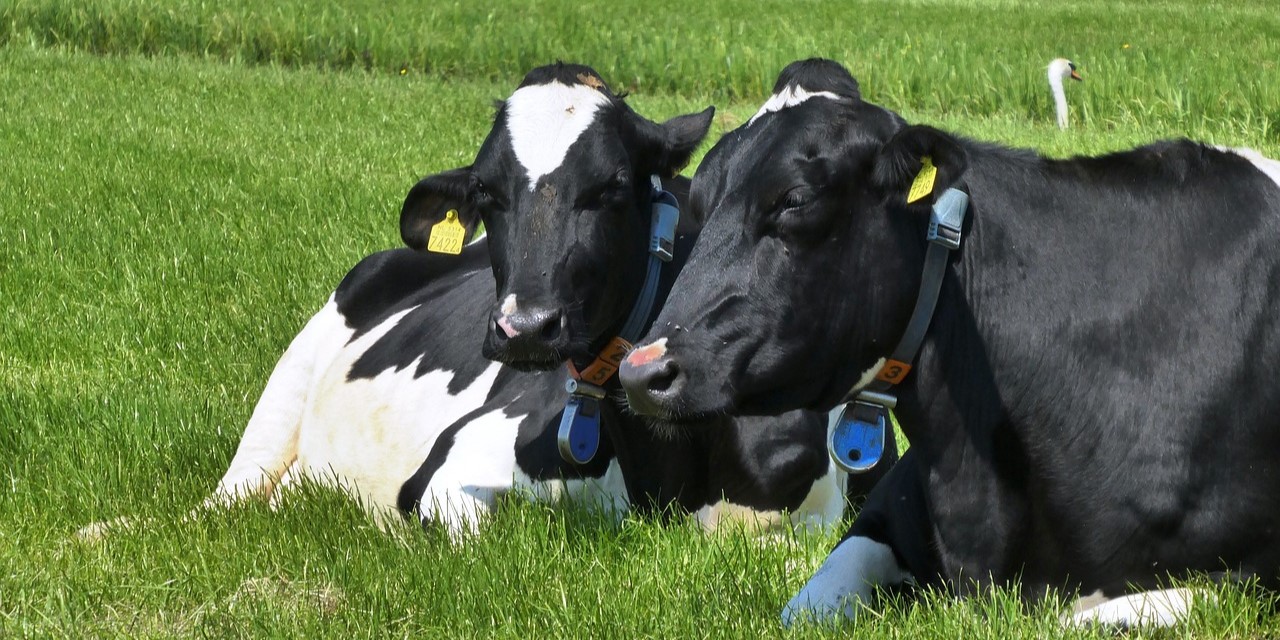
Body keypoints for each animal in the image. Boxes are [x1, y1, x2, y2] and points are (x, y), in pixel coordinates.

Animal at [81, 63, 876, 542]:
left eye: (613, 186)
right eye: (488, 193)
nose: (525, 327)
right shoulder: (453, 465)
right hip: (293, 375)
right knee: (226, 500)